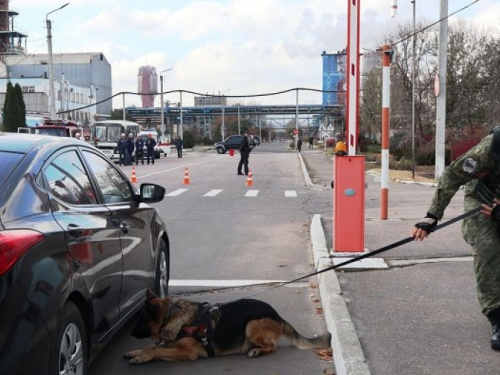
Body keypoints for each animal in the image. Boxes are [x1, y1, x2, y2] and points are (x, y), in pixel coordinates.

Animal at [124, 290, 332, 364]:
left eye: (141, 319)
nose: (131, 333)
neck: (171, 316)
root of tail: (276, 315)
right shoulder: (171, 343)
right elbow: (152, 347)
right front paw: (136, 352)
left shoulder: (187, 353)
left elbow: (157, 351)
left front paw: (141, 358)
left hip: (251, 324)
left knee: (271, 346)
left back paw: (256, 351)